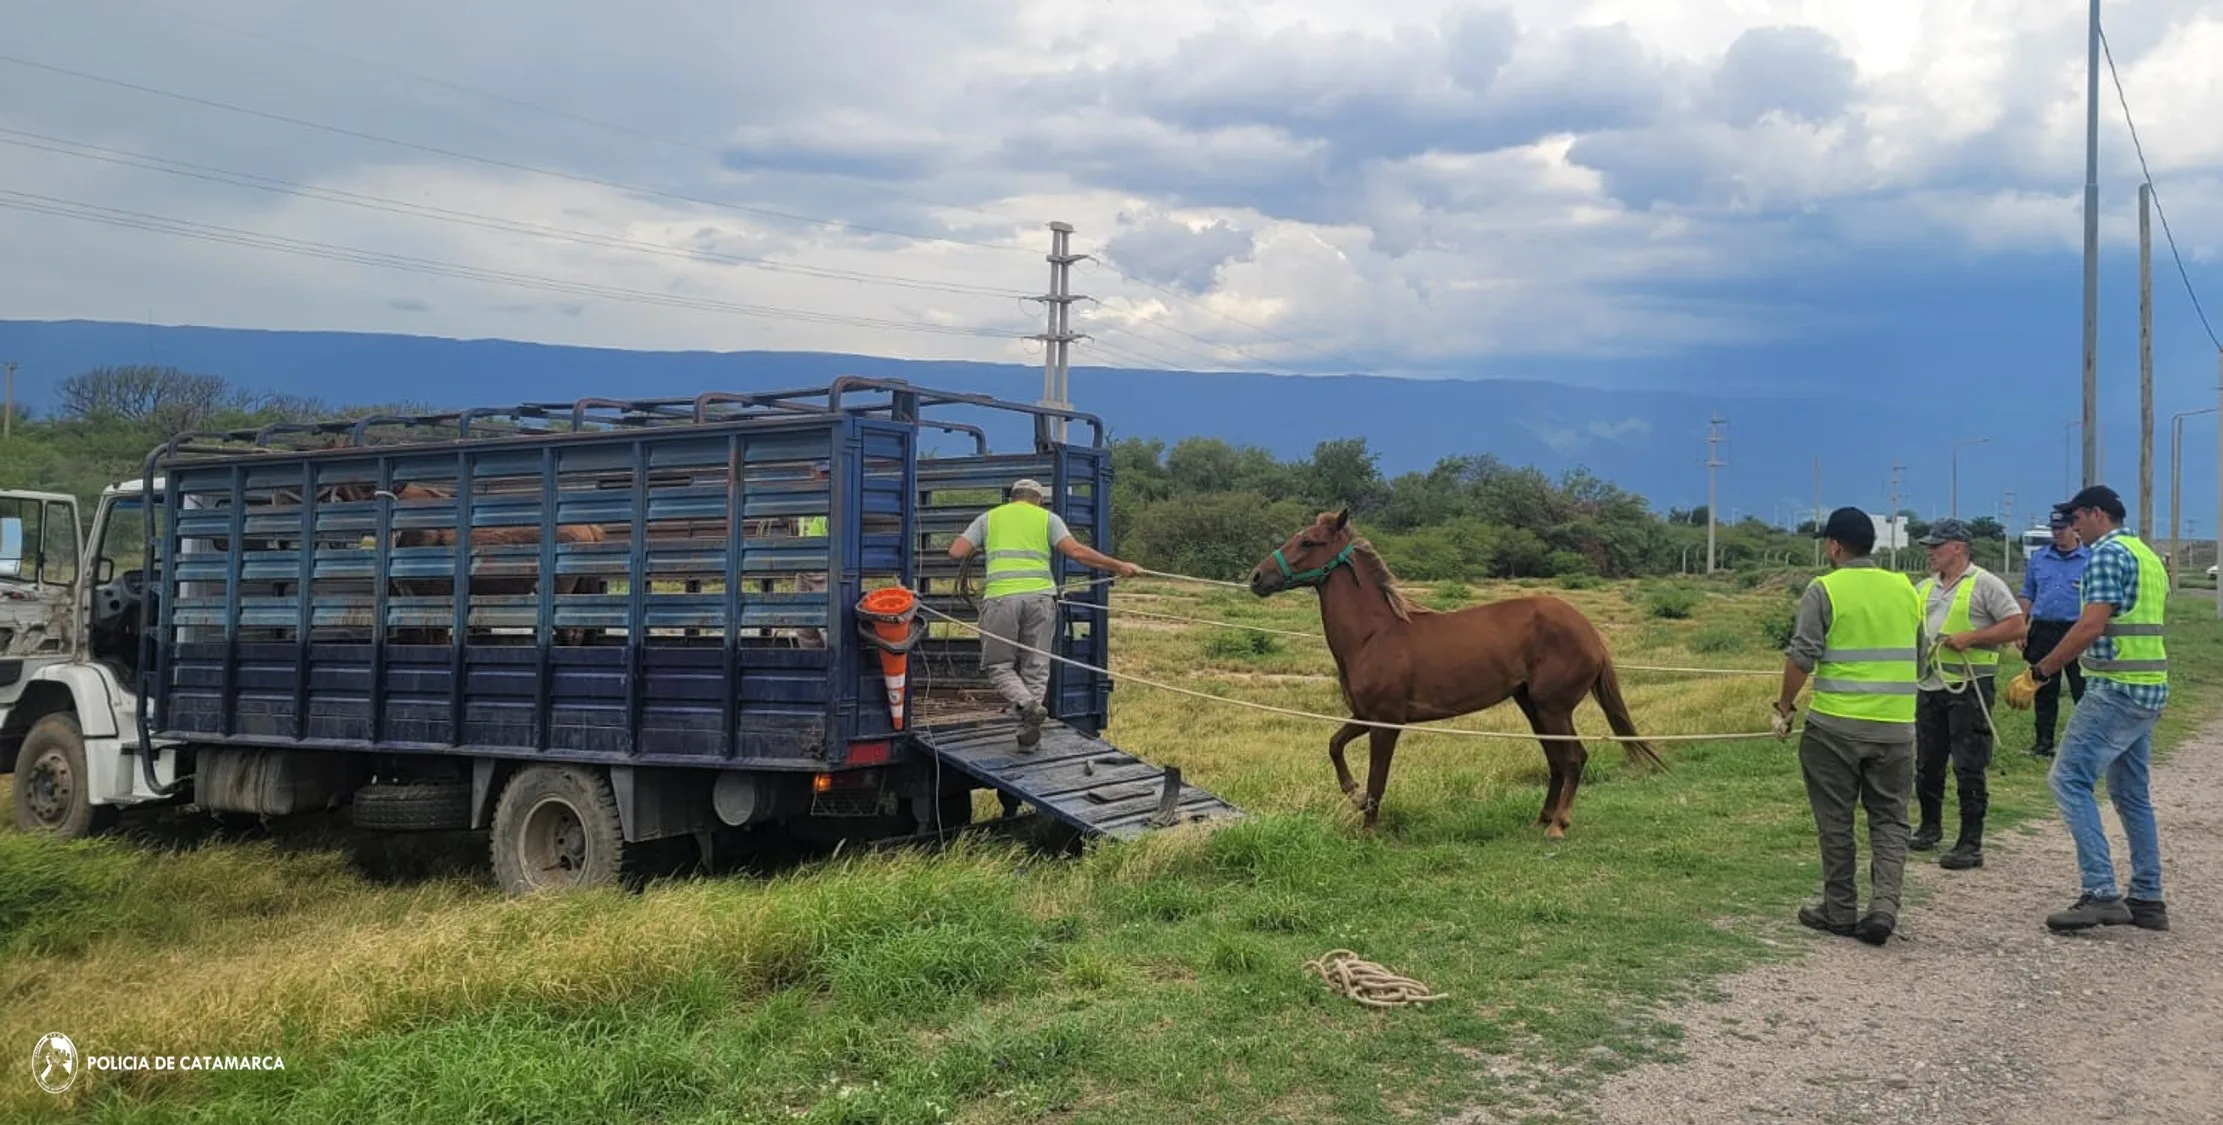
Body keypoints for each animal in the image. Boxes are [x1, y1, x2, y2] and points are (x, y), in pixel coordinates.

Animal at [1244, 509, 1662, 835]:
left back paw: (1558, 825)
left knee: (1574, 758)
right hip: (1532, 706)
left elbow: (1378, 777)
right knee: (1556, 760)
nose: (1256, 577)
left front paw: (1368, 828)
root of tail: (1592, 634)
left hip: (1553, 707)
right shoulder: (1366, 715)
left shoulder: (1387, 721)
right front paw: (1354, 793)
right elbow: (1335, 745)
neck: (1373, 635)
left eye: (1309, 542)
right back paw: (1542, 818)